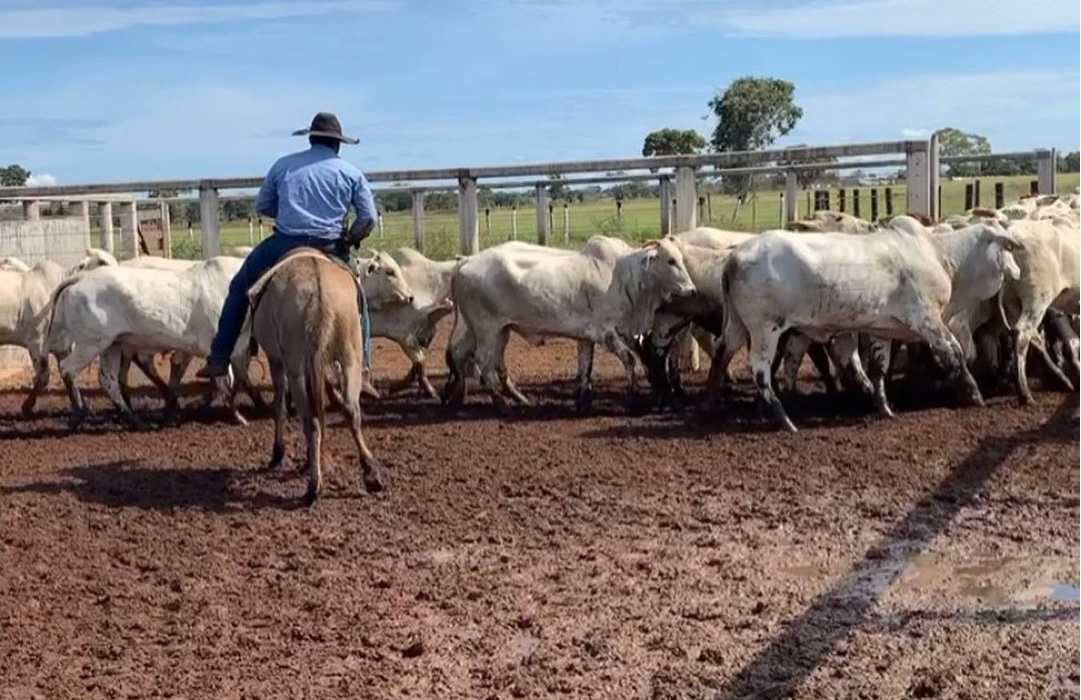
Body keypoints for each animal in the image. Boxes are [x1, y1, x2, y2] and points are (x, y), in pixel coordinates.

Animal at [244, 248, 384, 505]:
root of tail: (318, 294)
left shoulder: (276, 361)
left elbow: (279, 406)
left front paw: (278, 454)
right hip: (350, 357)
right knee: (351, 410)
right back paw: (371, 473)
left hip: (296, 368)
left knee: (311, 420)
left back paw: (313, 485)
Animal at [443, 236, 696, 410]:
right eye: (670, 260)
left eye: (681, 259)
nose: (692, 290)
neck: (623, 275)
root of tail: (465, 261)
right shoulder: (605, 332)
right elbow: (630, 359)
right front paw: (633, 397)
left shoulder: (585, 337)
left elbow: (585, 368)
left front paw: (583, 402)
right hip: (487, 330)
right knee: (484, 364)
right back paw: (502, 405)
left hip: (490, 331)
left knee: (465, 355)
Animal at [713, 220, 1024, 432]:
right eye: (1007, 247)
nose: (1019, 271)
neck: (940, 255)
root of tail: (734, 257)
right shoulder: (927, 320)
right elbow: (954, 353)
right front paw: (973, 394)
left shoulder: (882, 331)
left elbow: (878, 368)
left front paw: (884, 407)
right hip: (765, 329)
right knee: (761, 372)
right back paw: (785, 419)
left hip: (738, 326)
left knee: (722, 353)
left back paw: (711, 400)